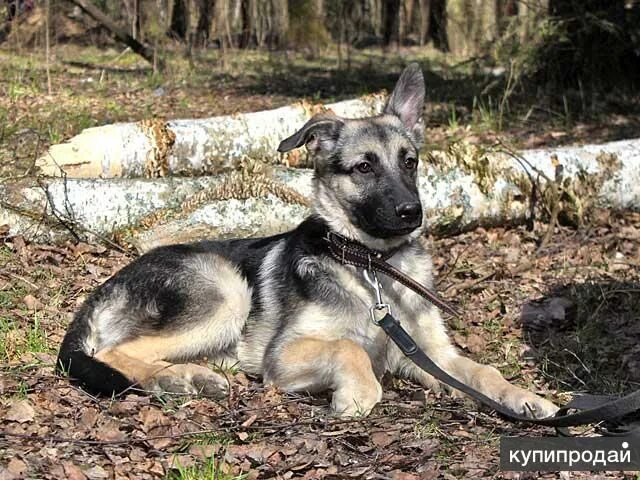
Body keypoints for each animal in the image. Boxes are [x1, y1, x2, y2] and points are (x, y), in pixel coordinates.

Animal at [61, 64, 560, 420]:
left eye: (410, 162)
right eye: (364, 167)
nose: (411, 213)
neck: (370, 265)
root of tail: (104, 289)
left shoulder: (432, 354)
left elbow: (481, 370)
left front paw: (524, 396)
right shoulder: (282, 355)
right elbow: (349, 347)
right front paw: (358, 392)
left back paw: (185, 378)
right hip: (225, 290)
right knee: (114, 352)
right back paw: (181, 379)